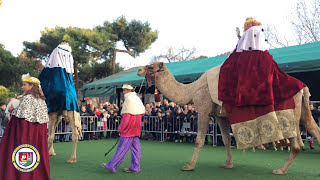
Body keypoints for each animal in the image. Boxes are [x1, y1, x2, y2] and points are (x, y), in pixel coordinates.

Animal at [136, 61, 320, 174]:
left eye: (151, 66)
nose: (139, 69)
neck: (192, 89)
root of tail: (302, 87)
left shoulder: (204, 110)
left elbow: (199, 140)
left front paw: (189, 166)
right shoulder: (220, 115)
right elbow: (225, 139)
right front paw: (228, 164)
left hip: (288, 112)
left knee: (297, 143)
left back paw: (280, 170)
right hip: (302, 110)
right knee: (313, 128)